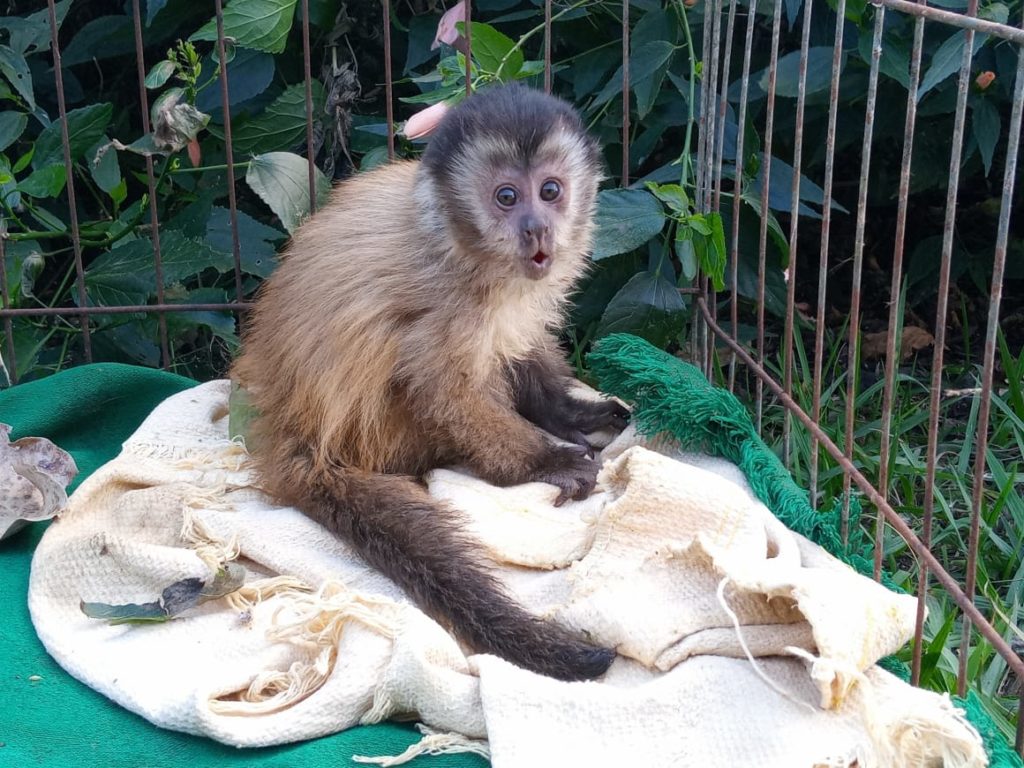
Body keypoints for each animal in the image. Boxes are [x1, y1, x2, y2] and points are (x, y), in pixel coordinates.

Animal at [232, 83, 626, 684]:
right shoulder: (449, 300)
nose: (536, 228)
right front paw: (545, 461)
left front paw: (571, 415)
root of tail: (289, 429)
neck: (465, 252)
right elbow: (440, 390)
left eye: (550, 191)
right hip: (379, 435)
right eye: (506, 197)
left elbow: (521, 344)